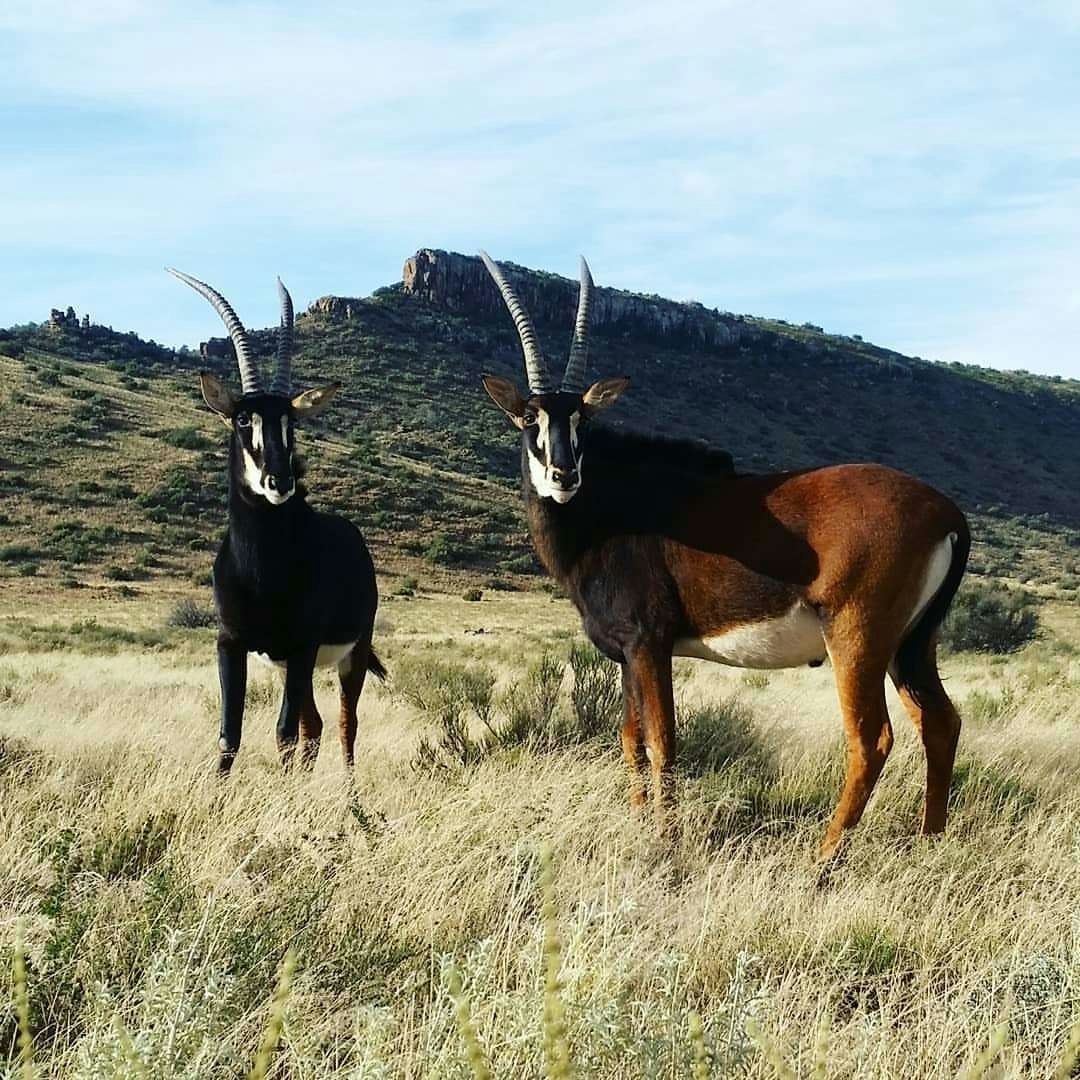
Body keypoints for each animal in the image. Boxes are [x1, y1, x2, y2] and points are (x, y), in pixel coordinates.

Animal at [166, 270, 386, 777]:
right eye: (243, 418)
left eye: (291, 422)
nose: (279, 480)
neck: (260, 570)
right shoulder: (231, 643)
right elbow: (230, 734)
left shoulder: (302, 645)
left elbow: (283, 733)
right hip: (291, 664)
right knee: (315, 726)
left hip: (350, 653)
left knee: (344, 724)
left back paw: (352, 796)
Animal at [481, 252, 972, 859]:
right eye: (531, 418)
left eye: (583, 420)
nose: (563, 475)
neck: (610, 511)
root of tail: (946, 513)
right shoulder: (625, 654)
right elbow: (631, 739)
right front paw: (639, 827)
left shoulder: (649, 644)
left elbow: (664, 742)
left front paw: (666, 845)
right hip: (913, 644)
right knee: (940, 724)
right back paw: (931, 845)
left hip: (858, 635)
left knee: (871, 738)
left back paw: (822, 860)